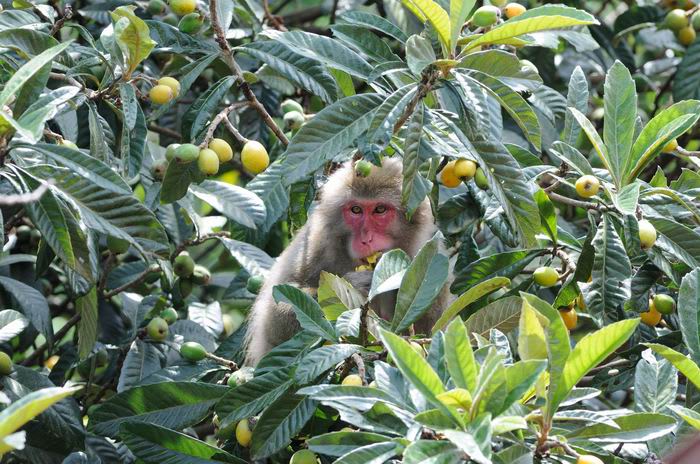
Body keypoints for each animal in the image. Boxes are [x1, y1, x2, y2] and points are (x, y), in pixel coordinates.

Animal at [245, 158, 454, 364]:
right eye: (356, 210)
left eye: (380, 209)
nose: (366, 239)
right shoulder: (314, 243)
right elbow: (273, 320)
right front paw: (353, 285)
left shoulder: (431, 255)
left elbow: (430, 330)